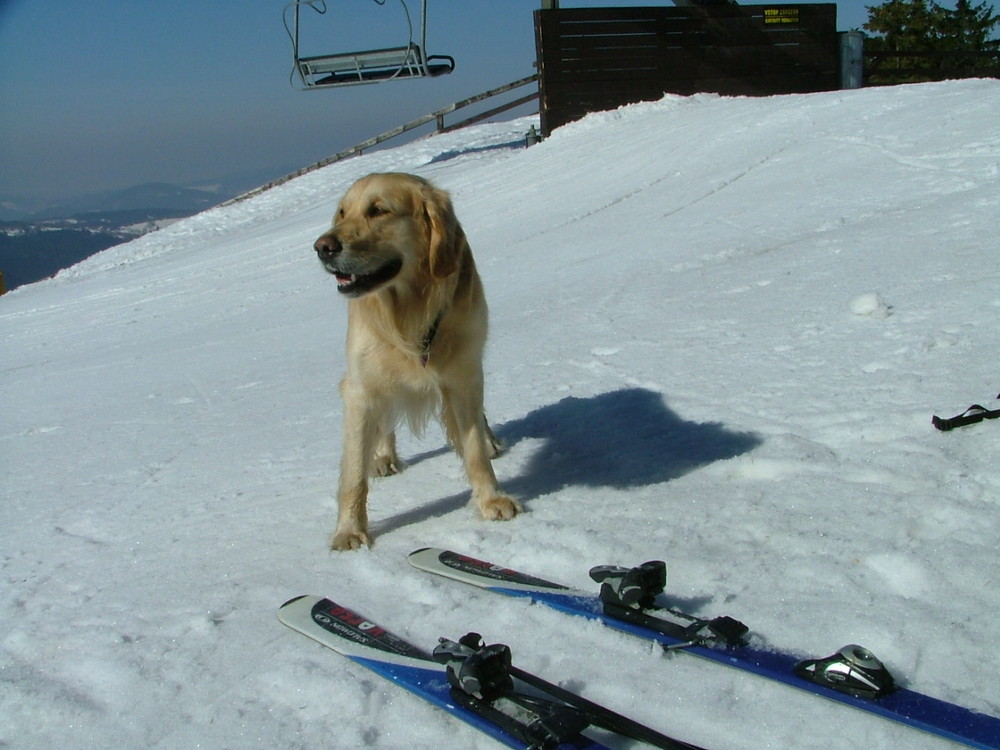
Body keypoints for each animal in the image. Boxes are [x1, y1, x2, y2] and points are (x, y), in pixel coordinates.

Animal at [314, 176, 524, 552]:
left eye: (378, 210)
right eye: (341, 213)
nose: (322, 247)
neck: (408, 313)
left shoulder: (463, 375)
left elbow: (474, 450)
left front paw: (491, 499)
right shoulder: (360, 389)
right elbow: (354, 473)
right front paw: (349, 531)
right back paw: (383, 456)